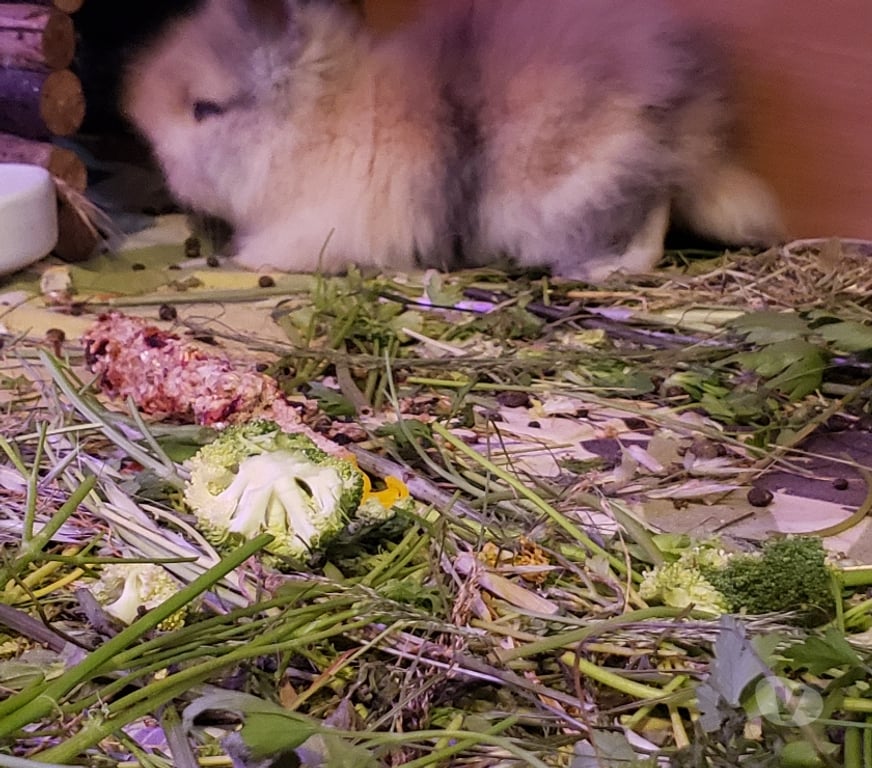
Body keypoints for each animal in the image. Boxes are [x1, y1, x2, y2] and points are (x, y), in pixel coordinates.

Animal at [123, 0, 785, 281]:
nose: (161, 163)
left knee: (649, 214)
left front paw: (234, 259)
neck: (322, 122)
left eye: (205, 109)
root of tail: (695, 117)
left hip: (579, 178)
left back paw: (600, 269)